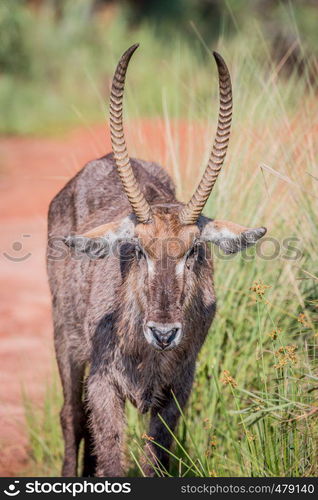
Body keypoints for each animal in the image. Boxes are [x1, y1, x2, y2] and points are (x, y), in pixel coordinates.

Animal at [47, 44, 266, 476]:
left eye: (194, 250)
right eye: (138, 248)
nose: (164, 333)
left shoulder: (176, 393)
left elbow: (156, 462)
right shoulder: (104, 386)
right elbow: (110, 456)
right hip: (65, 338)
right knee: (71, 416)